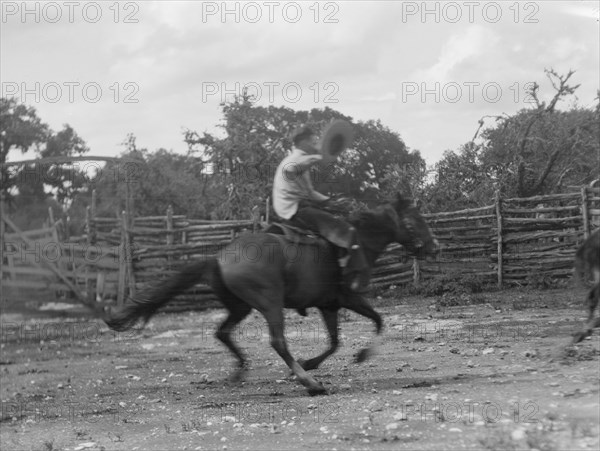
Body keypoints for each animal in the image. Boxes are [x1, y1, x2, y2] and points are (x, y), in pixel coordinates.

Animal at [105, 194, 436, 396]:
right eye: (414, 220)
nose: (433, 246)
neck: (359, 243)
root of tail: (219, 257)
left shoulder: (328, 305)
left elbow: (335, 342)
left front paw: (312, 361)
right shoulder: (348, 299)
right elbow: (377, 322)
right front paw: (360, 355)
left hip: (240, 307)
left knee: (222, 333)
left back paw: (242, 372)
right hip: (270, 304)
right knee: (278, 341)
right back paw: (310, 383)